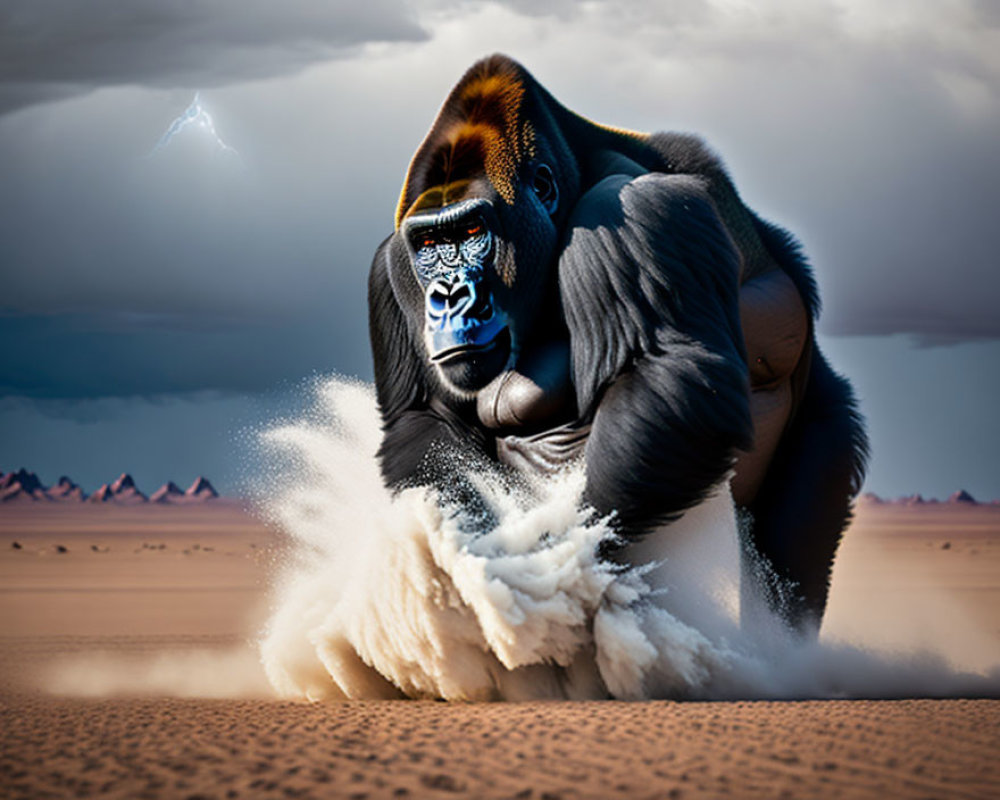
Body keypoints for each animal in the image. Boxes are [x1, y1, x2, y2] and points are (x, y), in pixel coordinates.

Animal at [368, 53, 868, 636]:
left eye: (472, 231)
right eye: (429, 242)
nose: (447, 298)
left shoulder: (629, 206)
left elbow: (666, 381)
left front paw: (554, 559)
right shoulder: (391, 266)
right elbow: (426, 422)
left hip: (823, 432)